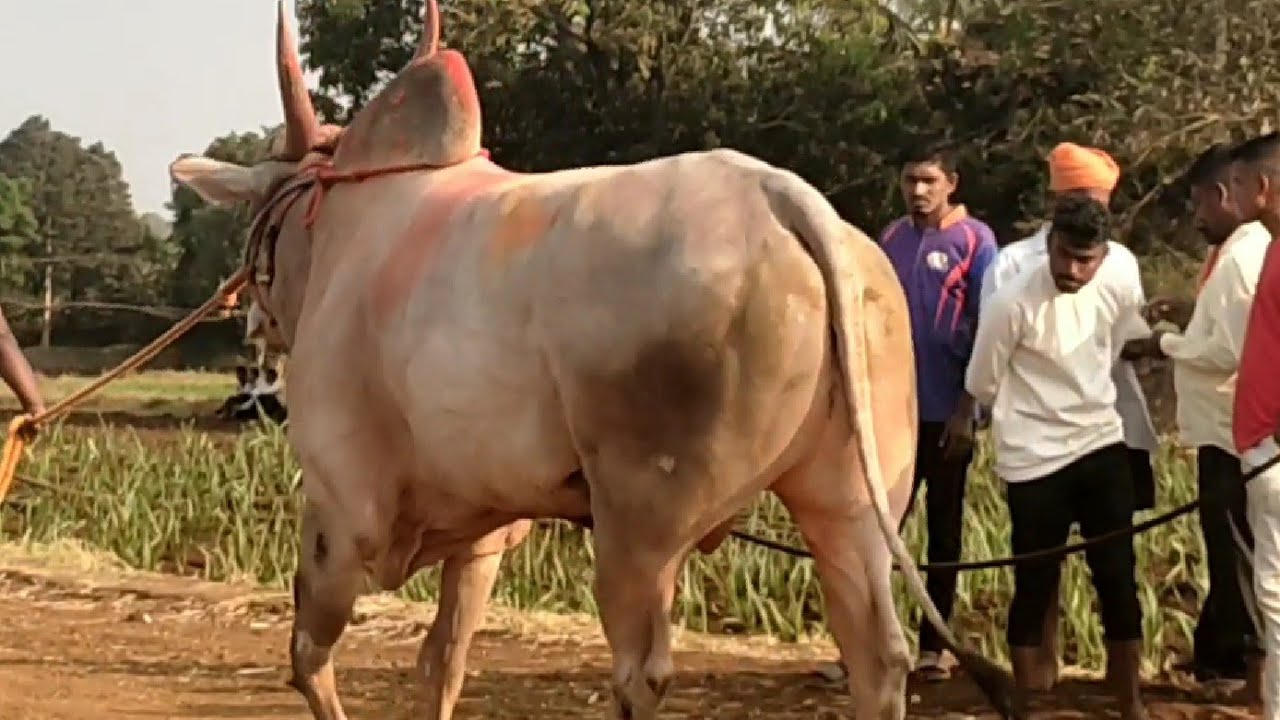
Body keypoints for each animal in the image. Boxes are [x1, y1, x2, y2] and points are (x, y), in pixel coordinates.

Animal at [166, 2, 1021, 719]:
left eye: (264, 222)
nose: (252, 324)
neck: (348, 223)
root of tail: (783, 197)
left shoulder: (342, 512)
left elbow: (308, 658)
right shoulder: (481, 532)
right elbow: (441, 662)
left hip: (640, 522)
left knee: (642, 672)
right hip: (850, 501)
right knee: (878, 657)